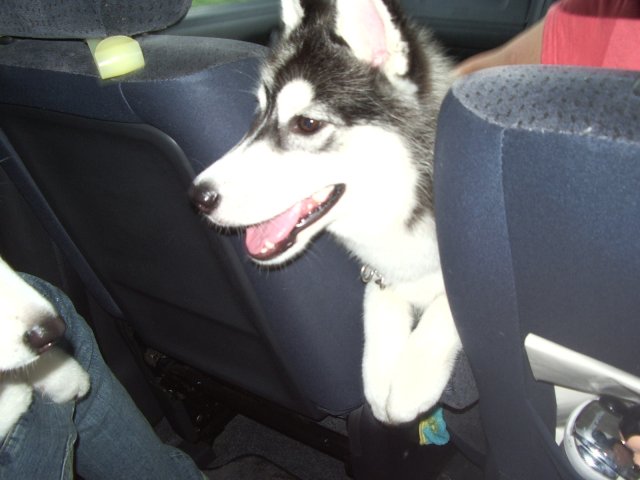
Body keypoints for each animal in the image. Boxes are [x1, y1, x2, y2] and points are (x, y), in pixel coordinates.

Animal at [190, 0, 460, 424]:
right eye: (259, 112)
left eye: (307, 123)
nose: (199, 196)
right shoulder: (380, 274)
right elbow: (377, 302)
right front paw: (381, 372)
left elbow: (454, 302)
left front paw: (414, 375)